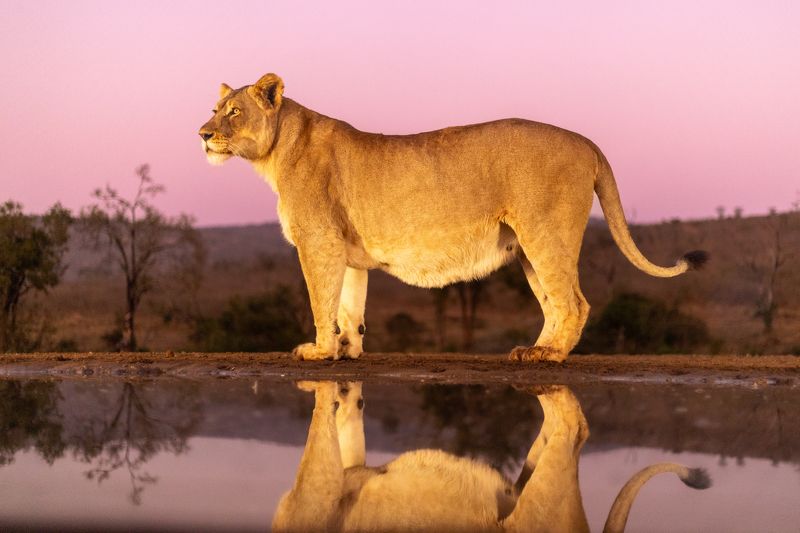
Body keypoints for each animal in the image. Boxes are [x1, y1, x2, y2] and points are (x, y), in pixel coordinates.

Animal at [198, 73, 708, 362]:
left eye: (234, 112)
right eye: (214, 110)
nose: (202, 134)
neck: (276, 152)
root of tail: (587, 142)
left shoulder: (317, 240)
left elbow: (321, 300)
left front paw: (319, 352)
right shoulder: (344, 247)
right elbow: (349, 305)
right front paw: (347, 351)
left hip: (546, 233)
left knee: (575, 302)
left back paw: (551, 356)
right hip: (528, 247)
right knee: (554, 303)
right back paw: (533, 349)